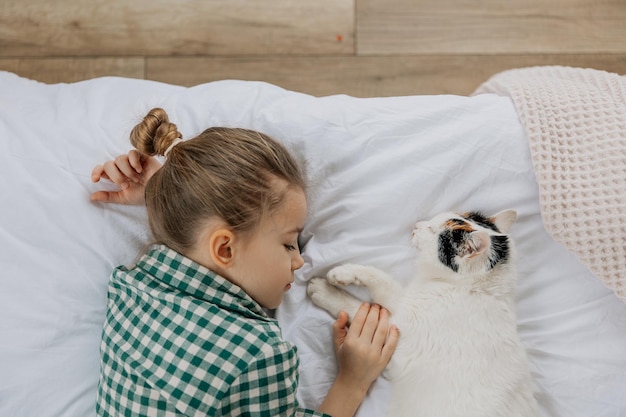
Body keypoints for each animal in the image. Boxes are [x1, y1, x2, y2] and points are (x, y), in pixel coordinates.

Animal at [306, 210, 536, 416]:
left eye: (433, 230)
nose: (416, 225)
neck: (475, 289)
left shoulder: (399, 335)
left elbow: (372, 291)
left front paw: (329, 287)